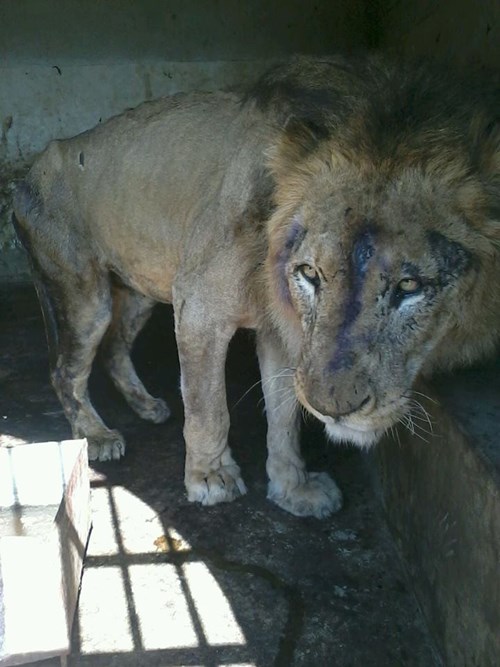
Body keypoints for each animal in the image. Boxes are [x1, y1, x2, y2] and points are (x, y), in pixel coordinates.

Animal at [12, 55, 500, 518]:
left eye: (408, 285)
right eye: (310, 273)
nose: (333, 407)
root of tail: (26, 172)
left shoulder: (283, 331)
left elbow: (284, 417)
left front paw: (293, 489)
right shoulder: (200, 308)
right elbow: (209, 409)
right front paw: (210, 480)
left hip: (138, 293)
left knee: (115, 349)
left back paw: (146, 406)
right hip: (85, 295)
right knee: (65, 369)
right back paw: (96, 435)